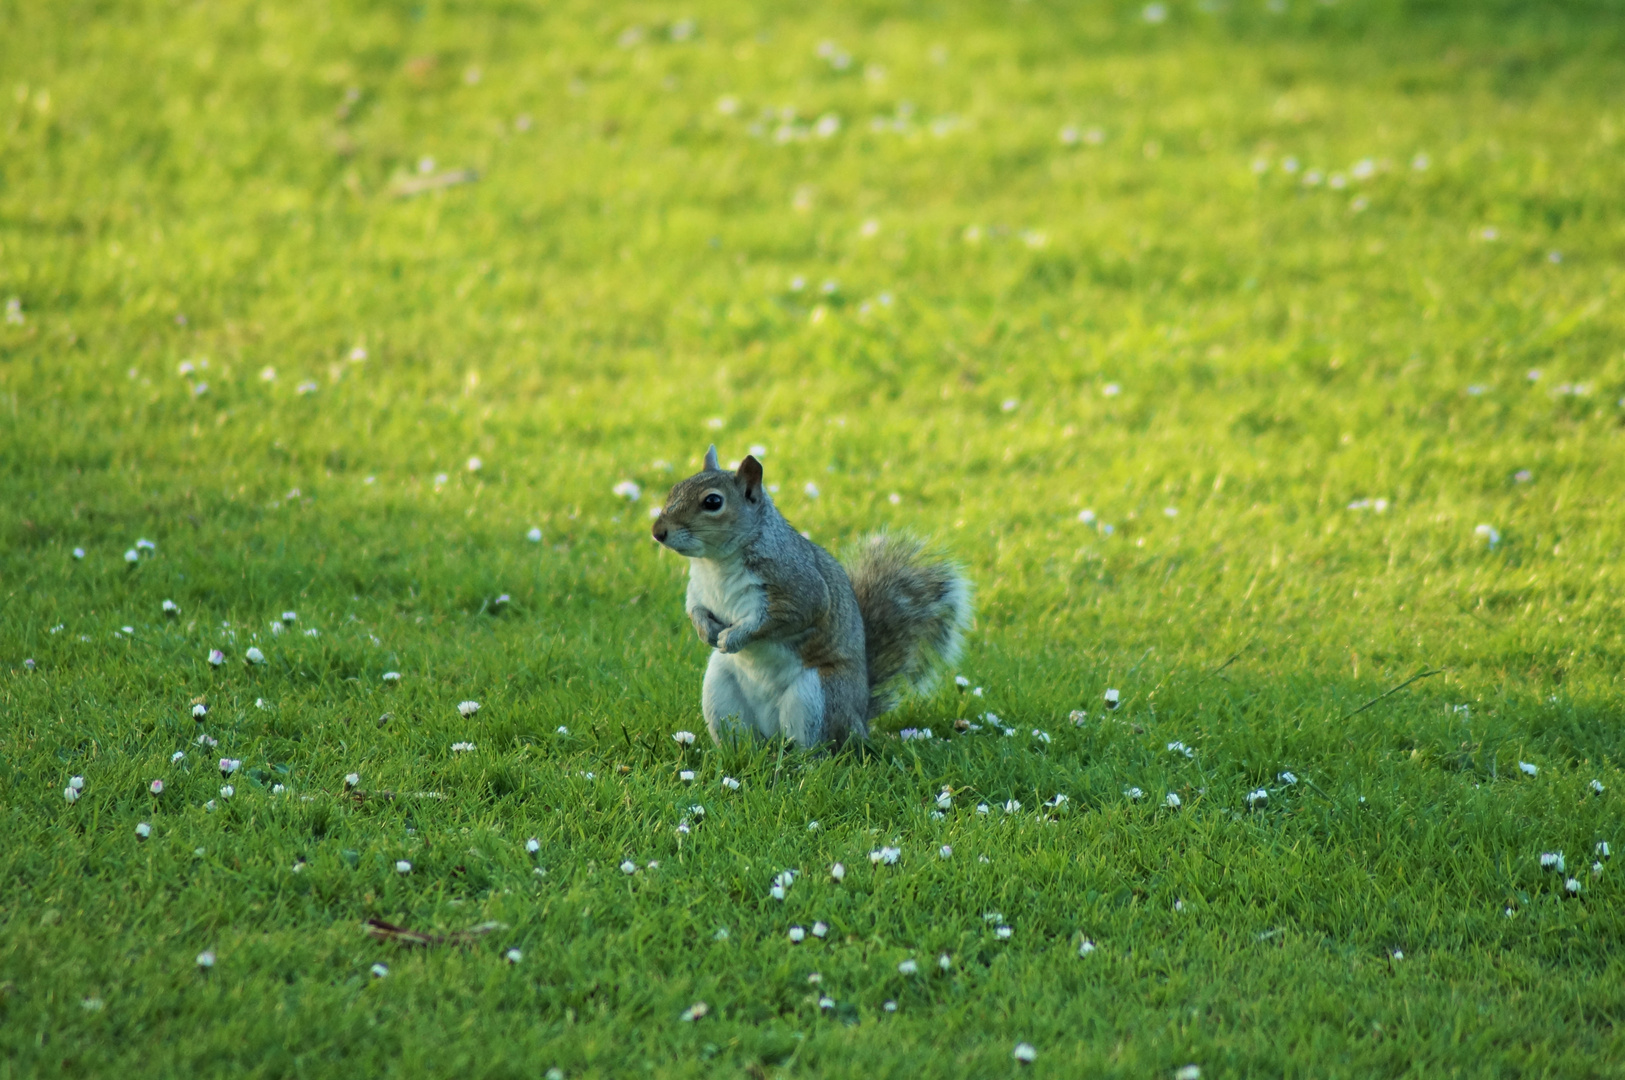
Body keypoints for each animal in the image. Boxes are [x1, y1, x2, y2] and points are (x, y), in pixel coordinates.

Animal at [650, 441, 975, 747]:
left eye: (713, 501)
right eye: (674, 488)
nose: (657, 531)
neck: (715, 563)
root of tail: (859, 720)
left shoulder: (798, 588)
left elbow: (780, 619)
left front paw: (733, 637)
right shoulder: (699, 590)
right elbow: (695, 608)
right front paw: (705, 631)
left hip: (818, 696)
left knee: (817, 745)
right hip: (721, 693)